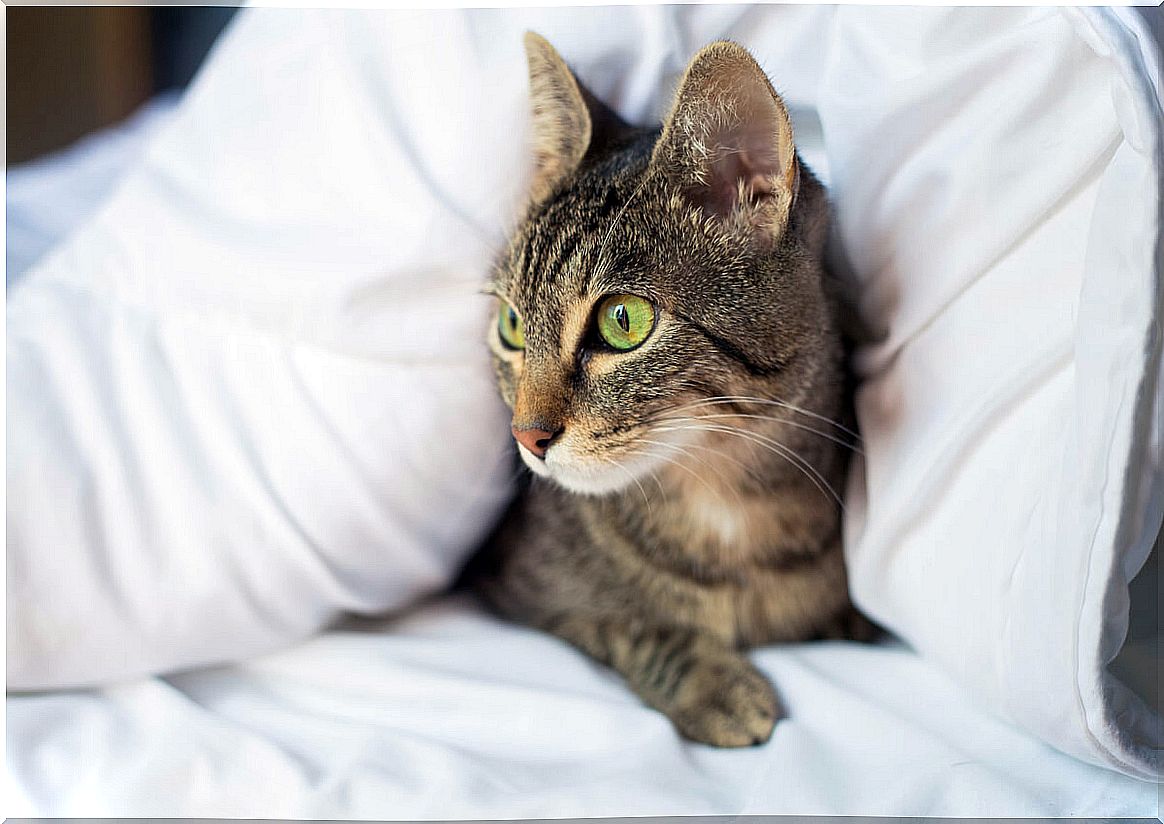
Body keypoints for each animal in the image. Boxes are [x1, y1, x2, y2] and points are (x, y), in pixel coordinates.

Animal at [463, 35, 875, 749]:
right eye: (512, 326)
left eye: (623, 321)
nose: (525, 435)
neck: (723, 505)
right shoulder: (517, 591)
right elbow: (627, 626)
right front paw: (714, 683)